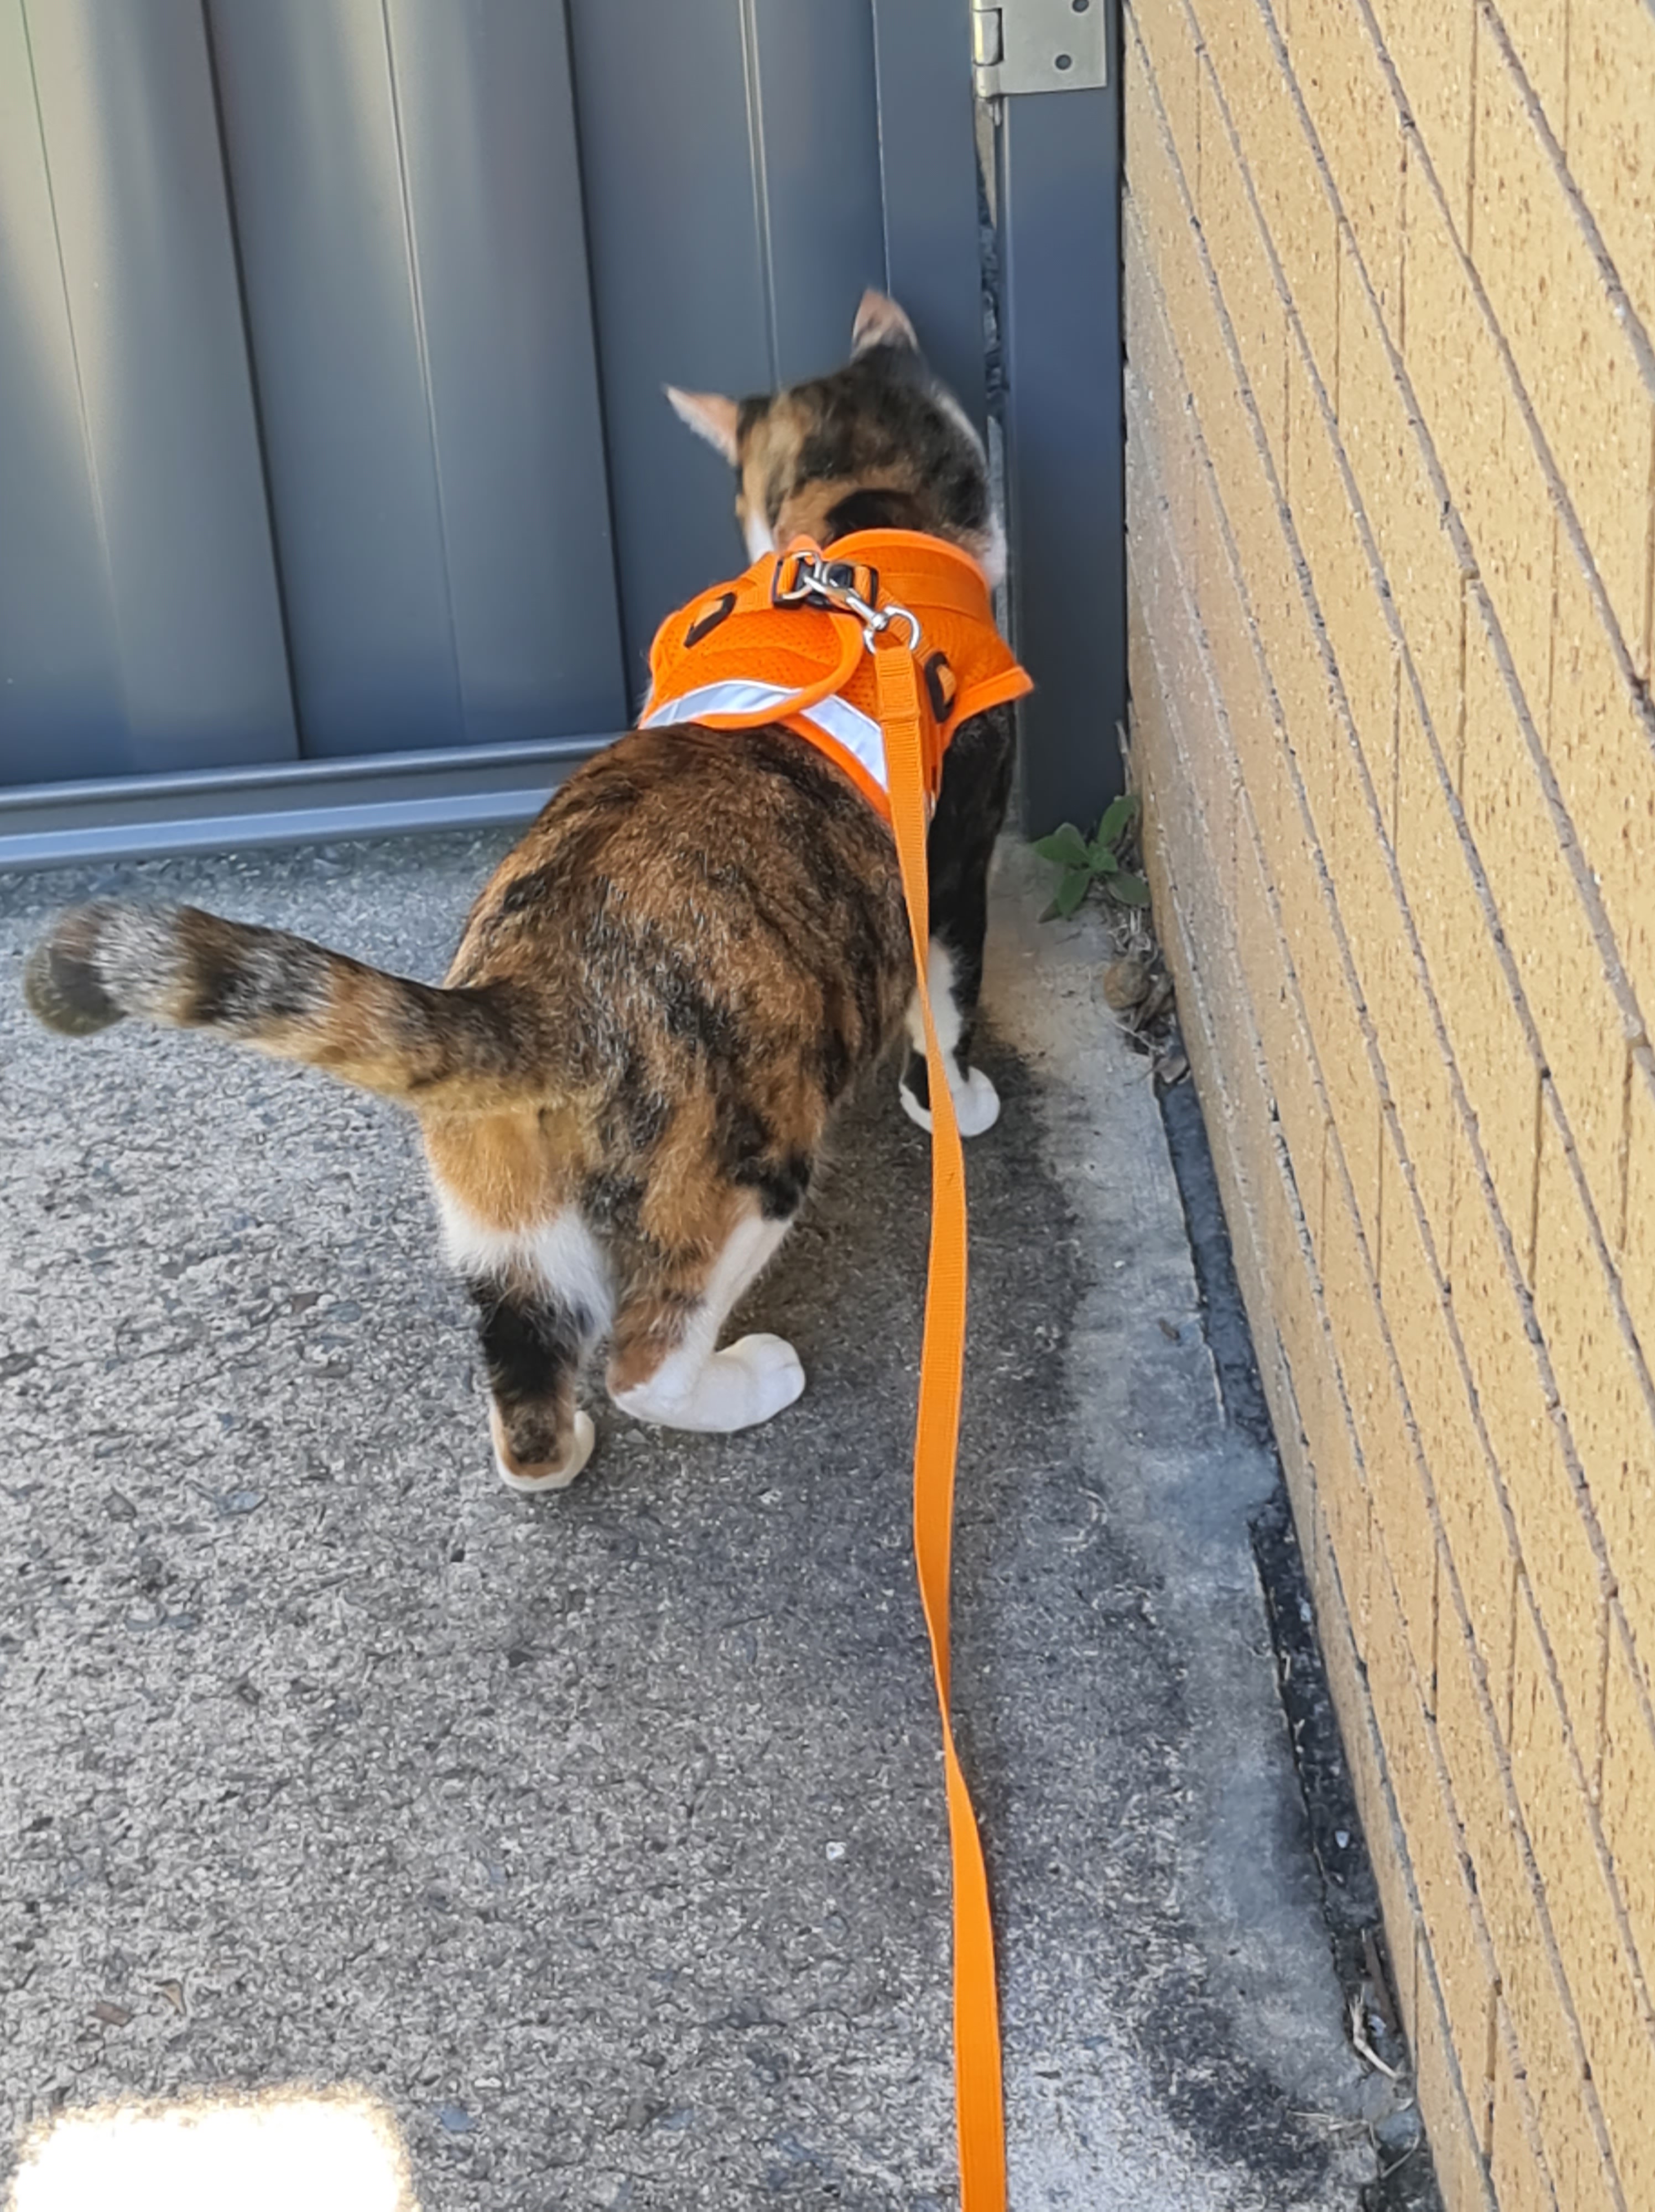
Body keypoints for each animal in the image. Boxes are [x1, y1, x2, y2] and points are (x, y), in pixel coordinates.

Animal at [24, 291, 1021, 1496]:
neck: (848, 526)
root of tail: (525, 990)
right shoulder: (955, 859)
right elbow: (948, 1007)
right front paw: (956, 1102)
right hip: (742, 1162)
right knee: (643, 1354)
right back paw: (746, 1379)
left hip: (500, 1208)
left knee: (531, 1401)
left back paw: (559, 1442)